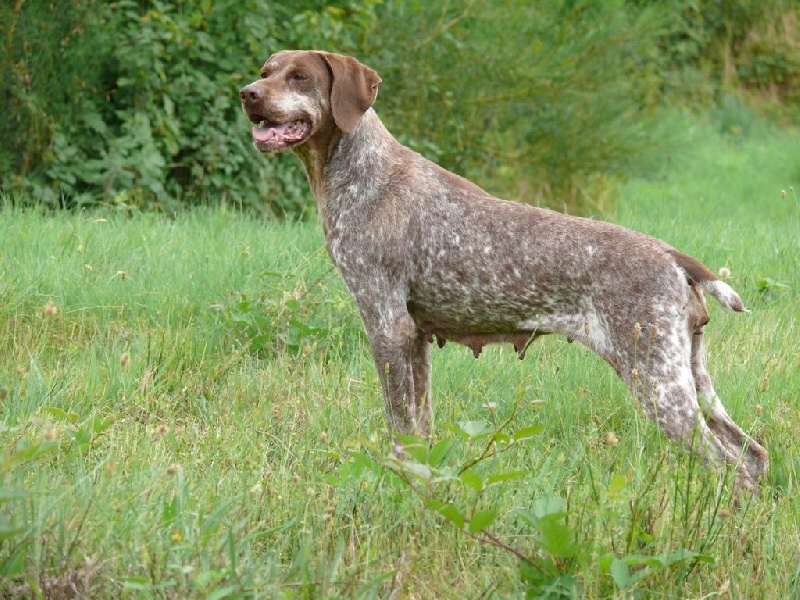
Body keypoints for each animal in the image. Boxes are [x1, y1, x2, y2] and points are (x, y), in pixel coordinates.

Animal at [239, 50, 768, 492]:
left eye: (300, 77)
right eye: (266, 72)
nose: (247, 94)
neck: (360, 173)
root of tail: (672, 256)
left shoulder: (386, 327)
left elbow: (399, 429)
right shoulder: (415, 338)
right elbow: (419, 432)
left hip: (658, 384)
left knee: (731, 466)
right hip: (692, 377)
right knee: (754, 455)